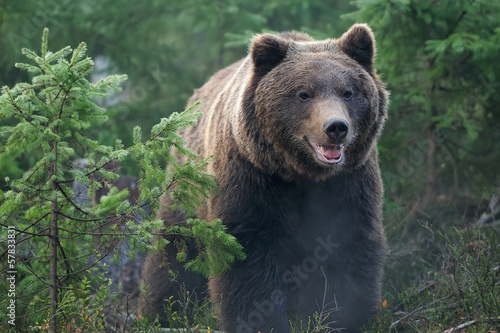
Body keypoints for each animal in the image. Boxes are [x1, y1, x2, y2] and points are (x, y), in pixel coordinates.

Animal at [143, 24, 388, 332]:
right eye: (304, 94)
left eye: (348, 92)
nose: (336, 127)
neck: (302, 174)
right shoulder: (251, 176)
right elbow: (247, 256)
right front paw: (262, 321)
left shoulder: (349, 181)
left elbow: (348, 246)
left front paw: (340, 318)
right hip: (187, 190)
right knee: (173, 251)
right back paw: (161, 312)